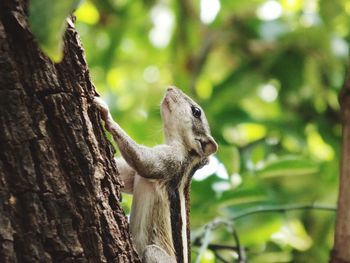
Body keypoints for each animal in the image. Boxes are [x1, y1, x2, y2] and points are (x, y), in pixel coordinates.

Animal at [94, 87, 217, 263]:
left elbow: (143, 162)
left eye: (196, 111)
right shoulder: (135, 175)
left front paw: (107, 114)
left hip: (154, 253)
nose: (170, 87)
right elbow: (123, 175)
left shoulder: (171, 161)